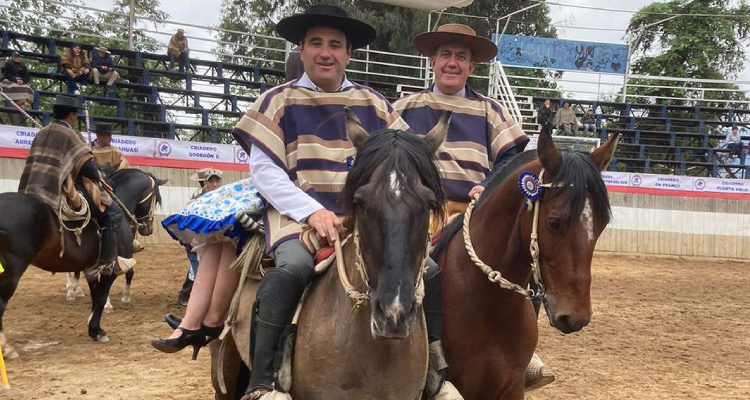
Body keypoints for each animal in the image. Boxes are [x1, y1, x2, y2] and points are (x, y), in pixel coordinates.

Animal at [0, 168, 166, 360]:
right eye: (155, 198)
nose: (148, 228)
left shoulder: (91, 269)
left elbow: (96, 297)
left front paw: (93, 327)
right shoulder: (110, 268)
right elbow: (101, 297)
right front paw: (97, 330)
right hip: (12, 271)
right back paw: (6, 347)